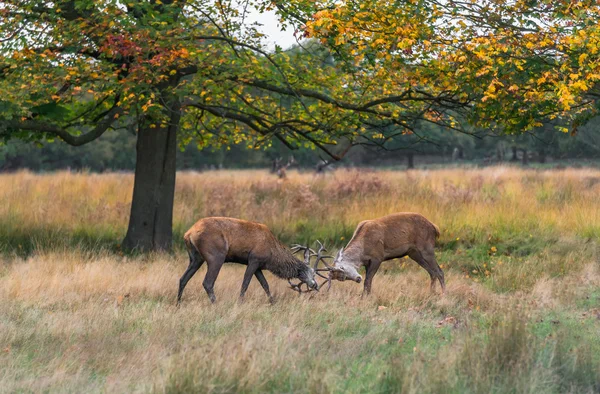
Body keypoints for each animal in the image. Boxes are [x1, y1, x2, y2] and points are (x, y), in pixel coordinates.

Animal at [178, 215, 328, 304]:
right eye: (312, 272)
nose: (315, 285)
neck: (272, 255)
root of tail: (188, 233)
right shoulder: (254, 259)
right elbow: (245, 284)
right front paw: (240, 302)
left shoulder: (259, 266)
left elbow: (265, 285)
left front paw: (273, 302)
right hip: (216, 256)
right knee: (208, 282)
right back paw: (216, 303)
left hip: (195, 258)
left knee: (183, 279)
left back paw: (178, 303)